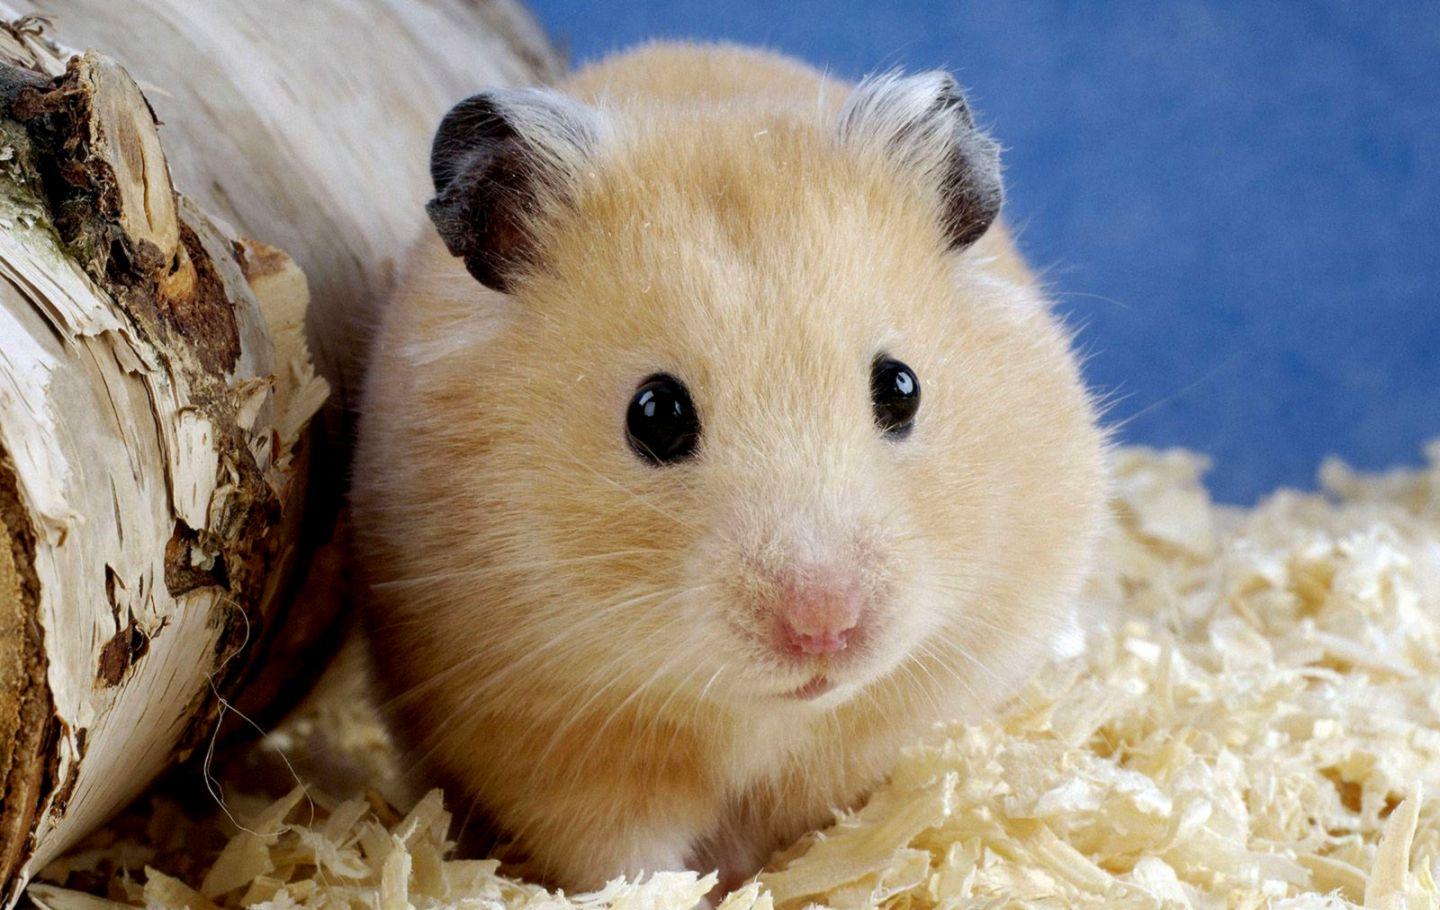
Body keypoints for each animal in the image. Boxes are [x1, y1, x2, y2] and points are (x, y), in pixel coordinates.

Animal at [351, 42, 1106, 893]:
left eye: (901, 387)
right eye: (655, 414)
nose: (825, 629)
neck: (762, 713)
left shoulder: (903, 714)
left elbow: (827, 823)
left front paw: (784, 878)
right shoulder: (551, 740)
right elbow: (623, 855)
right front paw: (688, 894)